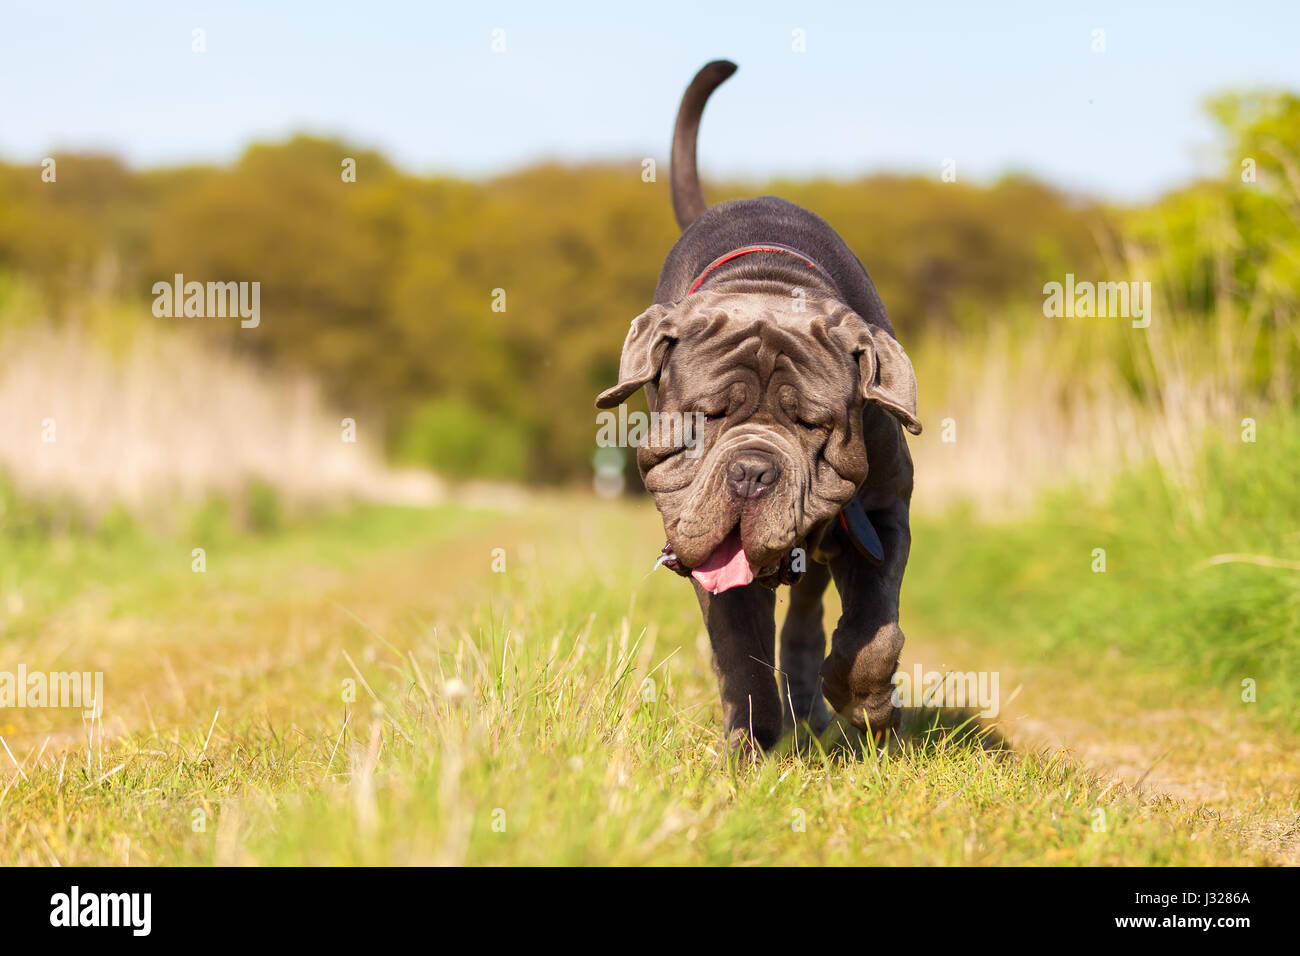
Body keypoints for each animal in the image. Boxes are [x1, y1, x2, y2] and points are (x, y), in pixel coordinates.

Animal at [595, 61, 920, 754]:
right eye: (704, 418)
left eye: (814, 425)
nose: (750, 471)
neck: (767, 284)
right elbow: (740, 649)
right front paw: (754, 746)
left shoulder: (883, 513)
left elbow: (874, 629)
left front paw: (868, 704)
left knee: (808, 615)